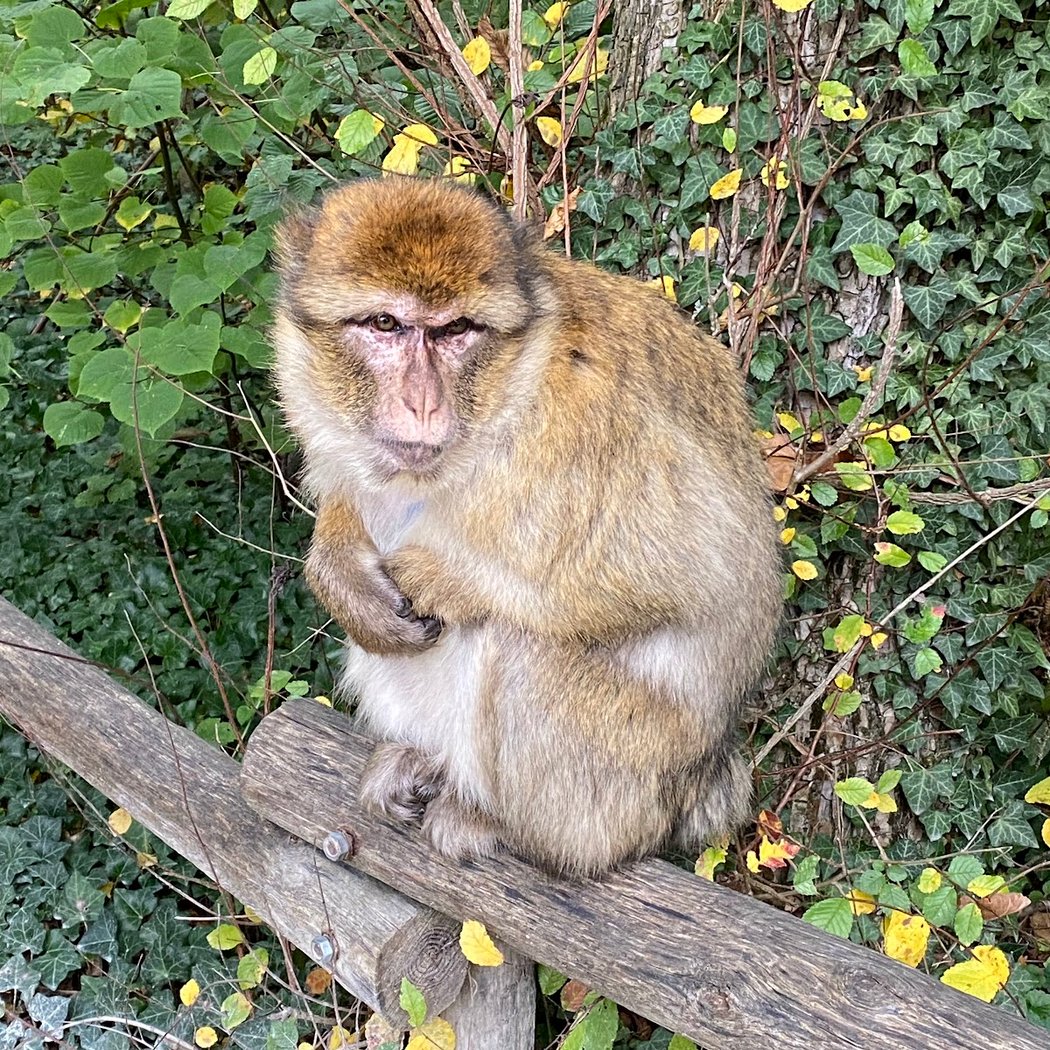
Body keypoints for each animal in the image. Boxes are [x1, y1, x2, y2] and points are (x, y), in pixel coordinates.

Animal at [271, 177, 782, 877]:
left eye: (457, 330)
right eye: (385, 324)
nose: (422, 403)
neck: (508, 391)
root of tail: (700, 779)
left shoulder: (584, 415)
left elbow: (697, 573)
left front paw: (443, 581)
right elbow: (352, 496)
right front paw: (339, 576)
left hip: (628, 772)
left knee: (521, 649)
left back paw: (508, 826)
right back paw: (422, 762)